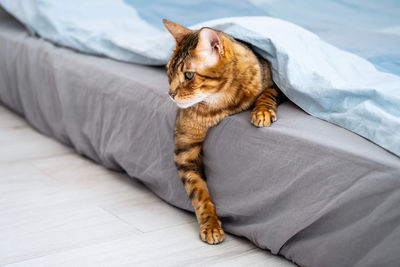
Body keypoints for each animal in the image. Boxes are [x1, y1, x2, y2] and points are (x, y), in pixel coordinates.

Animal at [162, 18, 284, 245]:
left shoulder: (274, 83)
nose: (171, 94)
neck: (221, 103)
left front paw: (262, 112)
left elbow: (267, 93)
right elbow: (199, 193)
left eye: (189, 75)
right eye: (168, 72)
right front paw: (211, 225)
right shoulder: (185, 151)